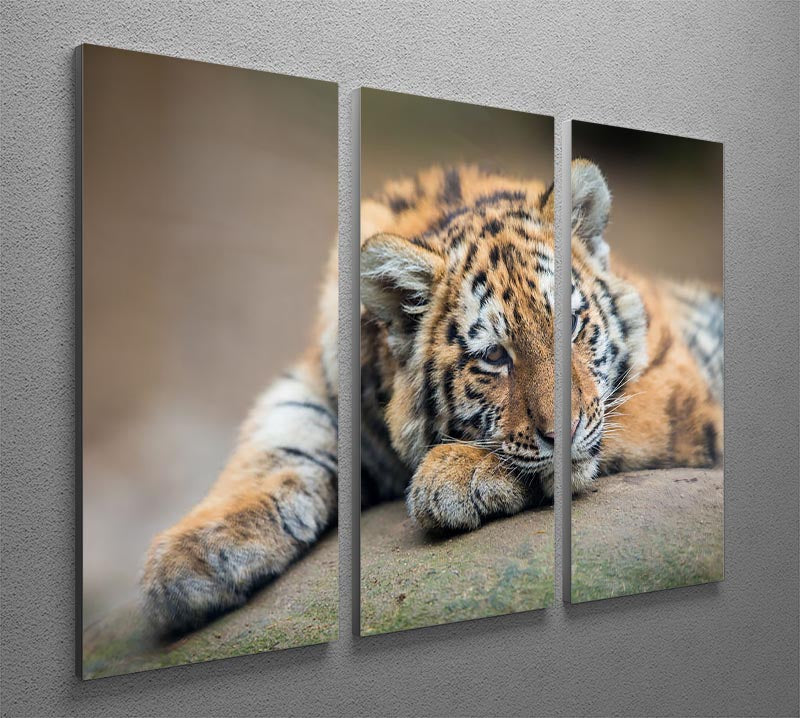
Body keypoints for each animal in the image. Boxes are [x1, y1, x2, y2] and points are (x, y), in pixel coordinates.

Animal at [141, 160, 723, 634]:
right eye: (495, 356)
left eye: (574, 325)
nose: (567, 431)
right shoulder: (317, 387)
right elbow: (278, 439)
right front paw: (189, 558)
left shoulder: (678, 382)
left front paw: (456, 475)